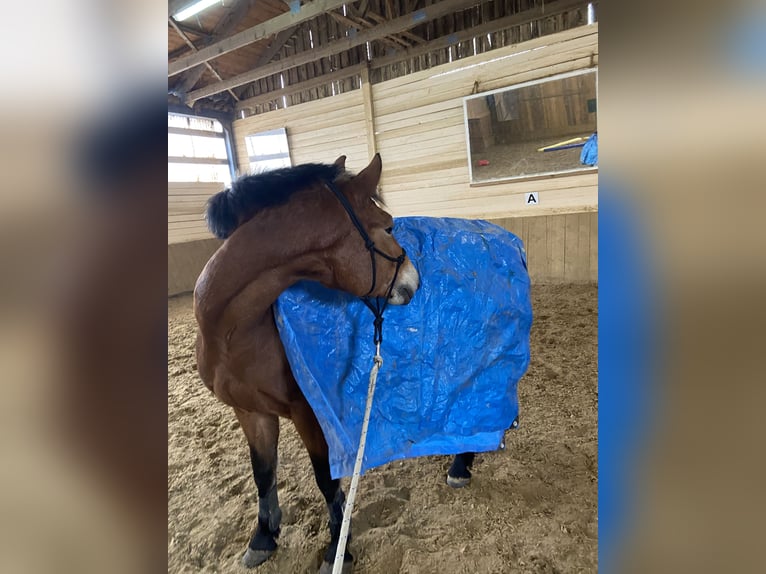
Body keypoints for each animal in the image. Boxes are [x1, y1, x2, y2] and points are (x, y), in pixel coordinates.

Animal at [193, 154, 420, 573]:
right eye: (388, 225)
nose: (414, 280)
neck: (235, 334)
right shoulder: (250, 411)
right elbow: (263, 472)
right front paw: (263, 536)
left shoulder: (308, 412)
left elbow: (325, 479)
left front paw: (338, 547)